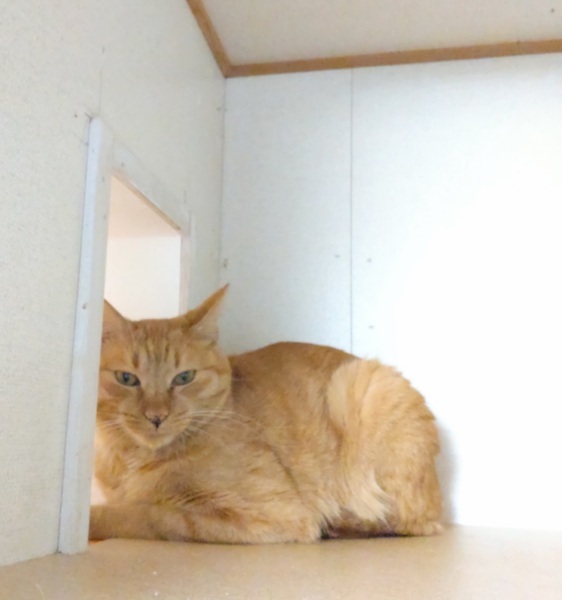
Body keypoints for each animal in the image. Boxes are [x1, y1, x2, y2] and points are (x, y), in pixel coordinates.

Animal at [90, 286, 442, 543]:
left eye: (184, 377)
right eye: (126, 379)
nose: (156, 416)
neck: (129, 460)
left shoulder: (273, 515)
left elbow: (149, 515)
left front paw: (95, 521)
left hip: (360, 385)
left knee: (407, 522)